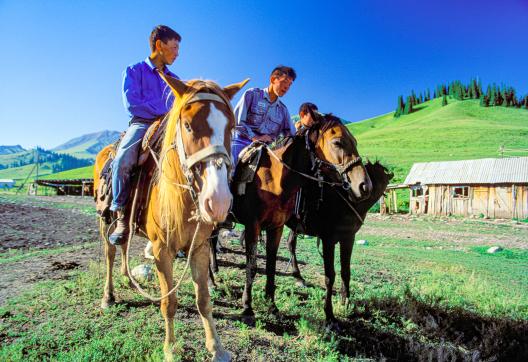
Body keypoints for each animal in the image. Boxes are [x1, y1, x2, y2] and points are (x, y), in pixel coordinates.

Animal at [94, 75, 248, 360]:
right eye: (187, 125)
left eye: (230, 127)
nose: (218, 201)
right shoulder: (162, 251)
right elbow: (169, 302)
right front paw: (170, 349)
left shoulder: (199, 247)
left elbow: (203, 300)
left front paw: (217, 348)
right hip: (104, 218)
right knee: (109, 253)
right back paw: (108, 296)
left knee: (123, 243)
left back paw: (128, 278)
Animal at [230, 114, 372, 326]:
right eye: (337, 142)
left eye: (354, 141)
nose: (364, 186)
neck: (273, 180)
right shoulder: (252, 226)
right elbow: (252, 265)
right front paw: (247, 308)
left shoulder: (277, 227)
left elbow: (271, 266)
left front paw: (272, 306)